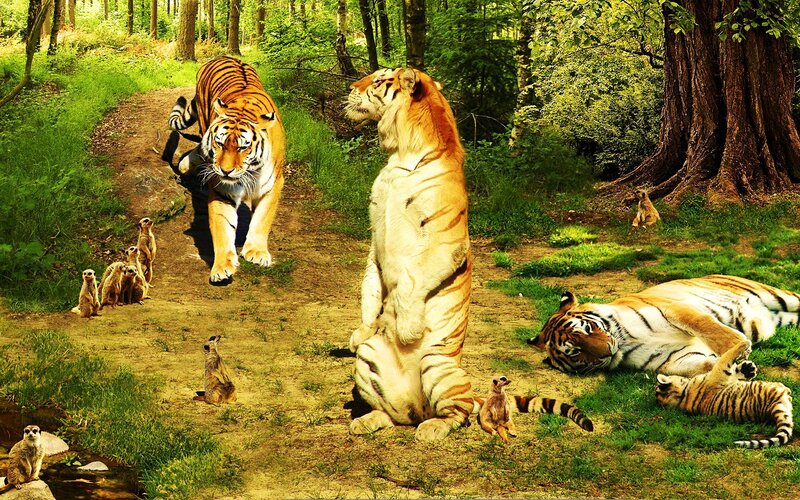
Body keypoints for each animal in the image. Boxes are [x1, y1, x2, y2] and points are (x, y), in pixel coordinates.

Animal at [166, 56, 286, 284]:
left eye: (242, 147)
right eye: (220, 143)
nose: (225, 171)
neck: (251, 172)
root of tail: (221, 56)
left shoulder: (273, 185)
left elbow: (262, 219)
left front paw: (257, 253)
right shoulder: (222, 190)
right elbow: (222, 227)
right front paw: (221, 267)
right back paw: (186, 165)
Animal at [344, 68, 473, 441]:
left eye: (377, 80)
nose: (350, 87)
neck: (398, 155)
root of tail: (415, 409)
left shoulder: (443, 240)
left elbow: (410, 282)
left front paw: (408, 330)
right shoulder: (375, 235)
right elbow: (370, 284)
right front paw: (364, 327)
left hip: (440, 366)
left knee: (460, 412)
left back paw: (432, 429)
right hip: (369, 358)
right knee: (390, 414)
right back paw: (367, 421)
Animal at [529, 275, 800, 377]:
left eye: (586, 329)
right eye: (575, 352)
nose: (607, 351)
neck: (623, 341)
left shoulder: (675, 309)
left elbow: (708, 328)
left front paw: (741, 347)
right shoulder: (671, 359)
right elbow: (702, 365)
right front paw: (741, 368)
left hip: (779, 296)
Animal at [656, 340, 793, 448]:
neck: (683, 397)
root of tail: (774, 407)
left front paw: (748, 368)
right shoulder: (719, 373)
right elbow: (726, 357)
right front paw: (745, 344)